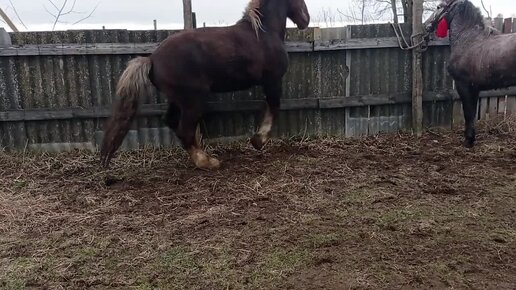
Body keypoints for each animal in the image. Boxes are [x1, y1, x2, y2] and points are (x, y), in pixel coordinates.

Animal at [101, 0, 310, 170]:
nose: (305, 20)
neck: (264, 33)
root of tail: (152, 59)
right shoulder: (273, 80)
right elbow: (274, 107)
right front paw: (258, 140)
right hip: (193, 102)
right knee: (184, 130)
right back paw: (207, 162)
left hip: (177, 100)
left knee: (173, 123)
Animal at [424, 0, 516, 147]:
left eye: (438, 6)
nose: (427, 25)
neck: (467, 39)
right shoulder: (474, 88)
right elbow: (472, 113)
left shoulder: (464, 85)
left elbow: (468, 113)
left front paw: (468, 140)